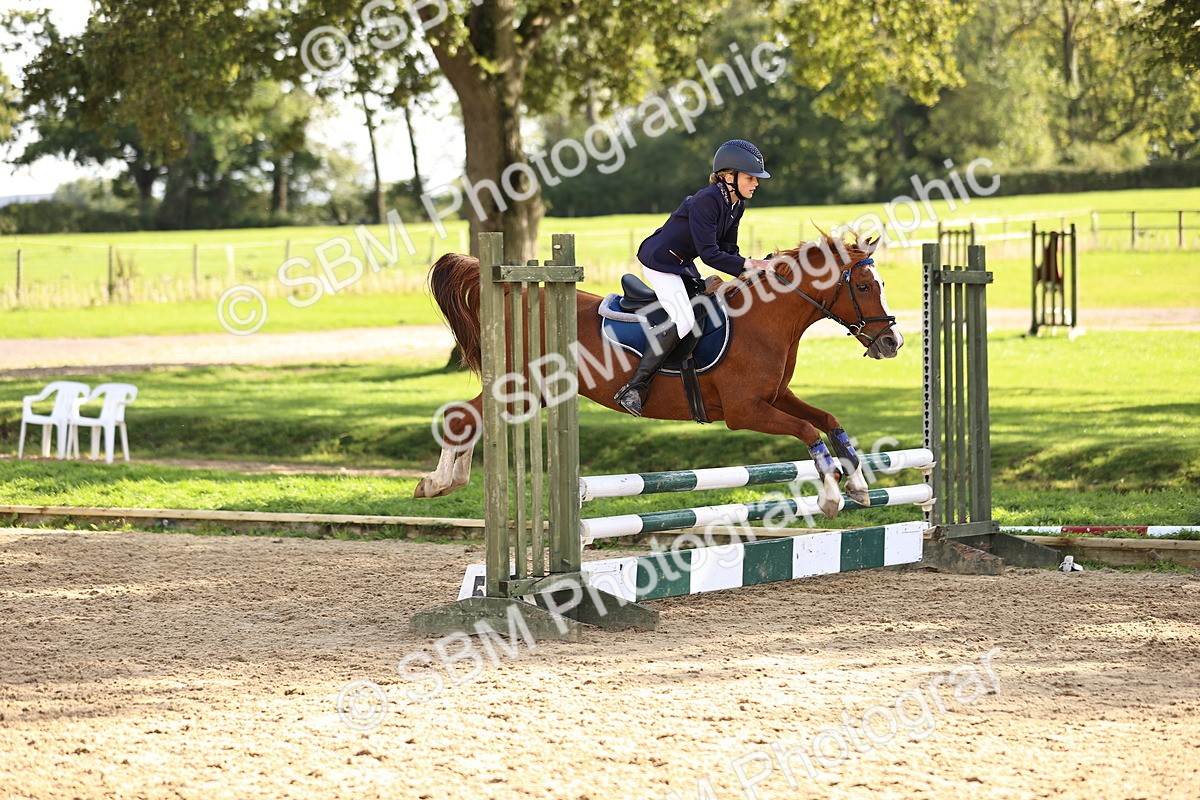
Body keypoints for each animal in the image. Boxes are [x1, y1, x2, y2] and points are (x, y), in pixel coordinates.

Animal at [413, 234, 904, 518]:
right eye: (863, 287)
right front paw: (831, 497)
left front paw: (859, 485)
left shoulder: (775, 397)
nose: (892, 343)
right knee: (462, 417)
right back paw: (438, 483)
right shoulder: (745, 411)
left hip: (537, 393)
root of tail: (514, 296)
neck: (766, 318)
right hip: (523, 385)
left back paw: (448, 479)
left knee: (473, 419)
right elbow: (807, 431)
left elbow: (828, 421)